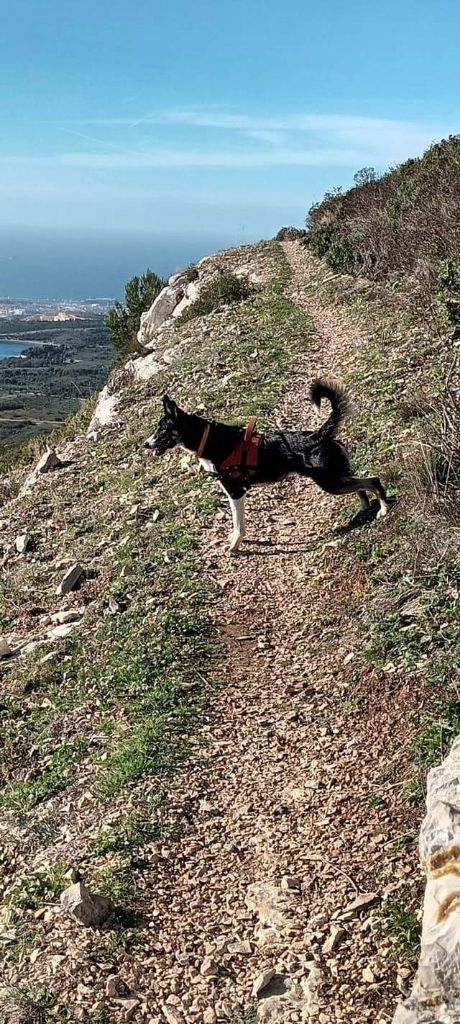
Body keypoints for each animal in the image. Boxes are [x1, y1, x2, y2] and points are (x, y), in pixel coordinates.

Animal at [143, 378, 387, 552]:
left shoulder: (236, 491)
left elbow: (238, 525)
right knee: (361, 486)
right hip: (337, 477)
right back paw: (365, 507)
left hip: (330, 482)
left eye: (162, 430)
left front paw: (234, 546)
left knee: (373, 480)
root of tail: (317, 435)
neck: (210, 440)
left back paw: (383, 509)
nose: (145, 444)